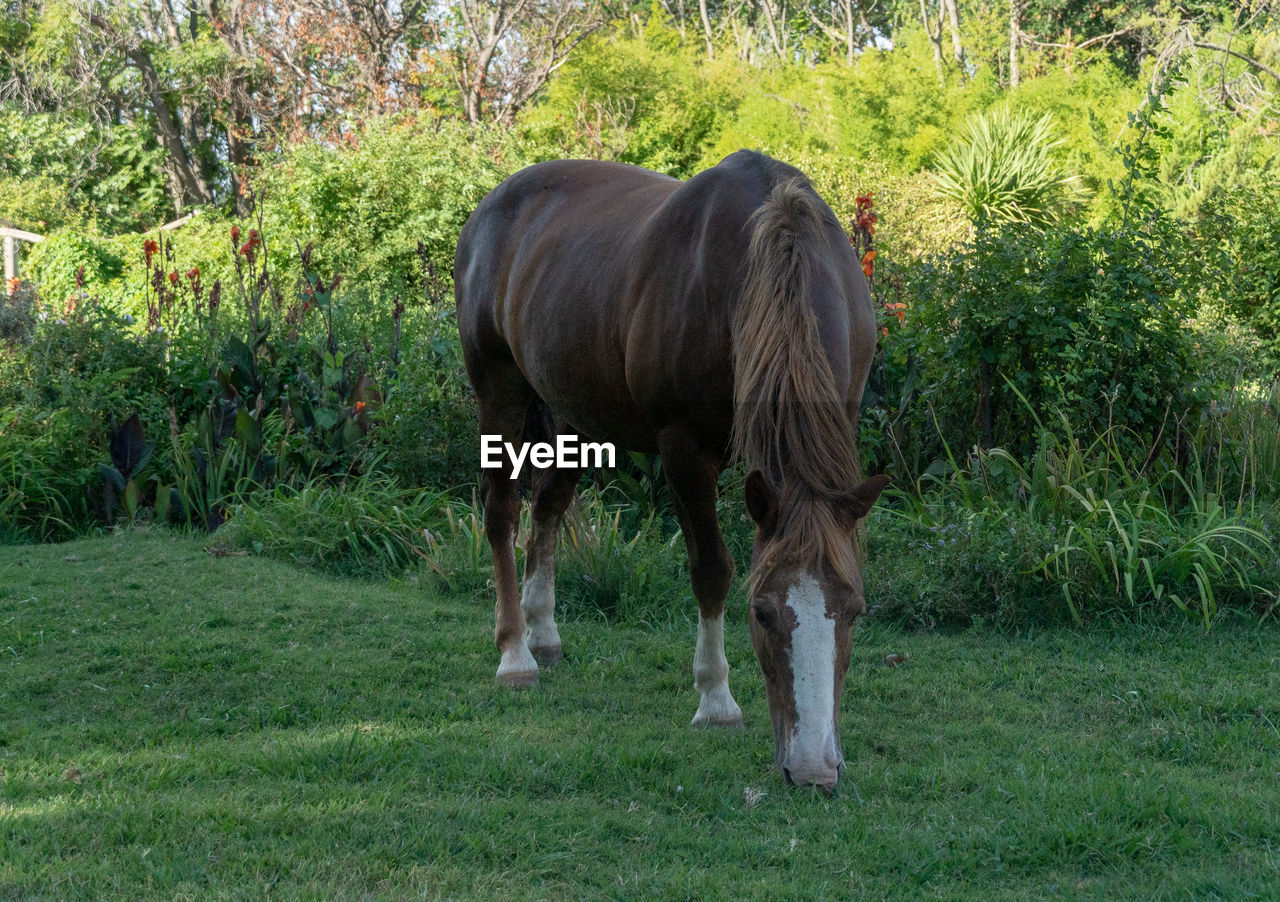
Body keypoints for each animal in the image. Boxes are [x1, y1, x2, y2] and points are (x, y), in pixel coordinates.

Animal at [455, 149, 885, 788]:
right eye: (761, 614)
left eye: (853, 612)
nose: (813, 770)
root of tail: (490, 205)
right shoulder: (685, 449)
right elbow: (711, 570)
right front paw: (716, 700)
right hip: (498, 388)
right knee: (503, 510)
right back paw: (515, 654)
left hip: (575, 412)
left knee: (548, 506)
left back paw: (544, 633)